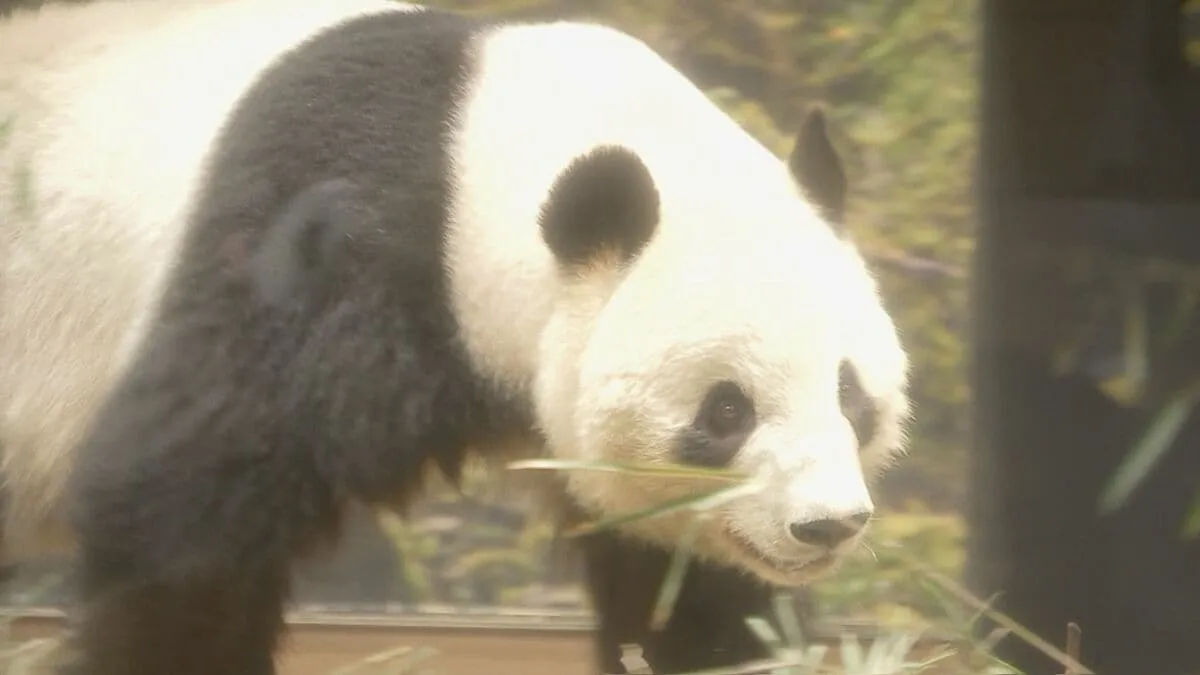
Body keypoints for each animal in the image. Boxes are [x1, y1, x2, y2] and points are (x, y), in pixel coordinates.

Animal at [0, 1, 912, 674]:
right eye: (726, 411)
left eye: (851, 394)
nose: (826, 525)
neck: (467, 151)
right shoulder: (312, 250)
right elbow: (184, 511)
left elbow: (684, 586)